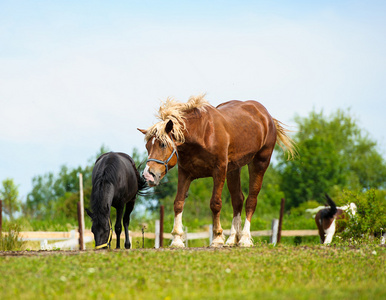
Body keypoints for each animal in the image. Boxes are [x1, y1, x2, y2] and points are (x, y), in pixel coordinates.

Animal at [138, 95, 296, 247]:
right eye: (147, 146)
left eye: (163, 144)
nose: (148, 175)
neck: (201, 133)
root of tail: (267, 117)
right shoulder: (185, 173)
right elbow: (178, 203)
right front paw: (177, 239)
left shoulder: (219, 171)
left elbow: (215, 204)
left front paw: (217, 238)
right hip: (234, 169)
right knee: (237, 200)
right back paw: (233, 239)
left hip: (259, 163)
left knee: (251, 200)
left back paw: (244, 239)